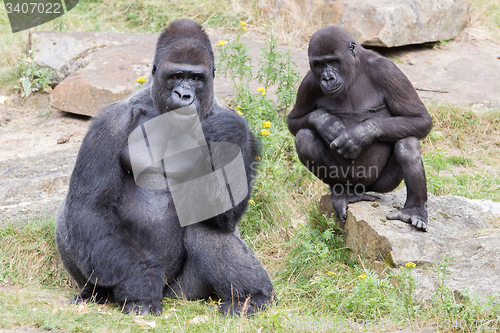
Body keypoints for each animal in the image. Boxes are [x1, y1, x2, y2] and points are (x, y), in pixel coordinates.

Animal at [56, 19, 276, 316]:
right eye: (175, 75)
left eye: (196, 78)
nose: (183, 94)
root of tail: (170, 292)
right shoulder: (109, 122)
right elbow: (90, 206)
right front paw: (141, 283)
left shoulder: (232, 123)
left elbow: (223, 215)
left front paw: (230, 132)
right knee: (72, 217)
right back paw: (95, 291)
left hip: (186, 292)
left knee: (204, 225)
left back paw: (252, 296)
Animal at [290, 26, 434, 231]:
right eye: (319, 64)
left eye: (333, 61)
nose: (327, 78)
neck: (354, 69)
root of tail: (361, 190)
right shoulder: (308, 83)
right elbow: (294, 121)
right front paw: (324, 121)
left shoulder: (387, 70)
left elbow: (420, 119)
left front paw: (359, 134)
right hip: (351, 182)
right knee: (304, 138)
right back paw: (343, 191)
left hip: (380, 186)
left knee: (408, 142)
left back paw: (414, 210)